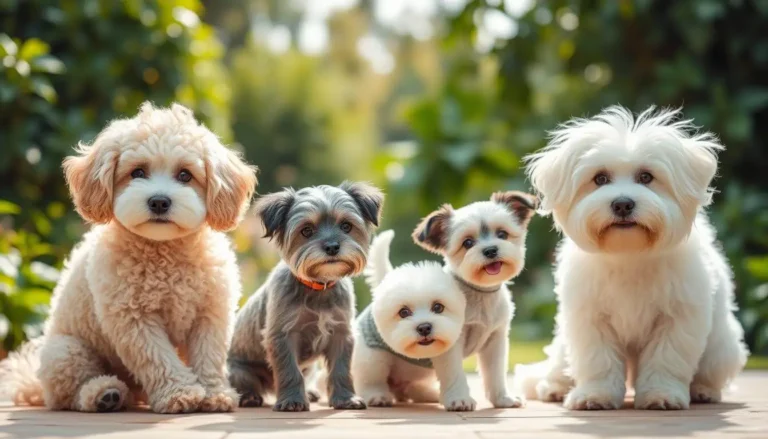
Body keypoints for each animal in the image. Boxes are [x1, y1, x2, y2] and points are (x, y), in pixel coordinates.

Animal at [228, 181, 384, 412]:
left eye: (346, 226)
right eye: (307, 230)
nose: (332, 247)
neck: (318, 287)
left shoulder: (341, 333)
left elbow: (341, 370)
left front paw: (346, 398)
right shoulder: (283, 335)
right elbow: (289, 370)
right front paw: (292, 400)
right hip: (239, 371)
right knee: (244, 383)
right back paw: (249, 396)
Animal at [352, 232, 464, 408]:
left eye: (438, 307)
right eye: (403, 312)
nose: (424, 327)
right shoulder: (371, 352)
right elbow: (371, 379)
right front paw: (376, 395)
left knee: (411, 387)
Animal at [512, 106, 748, 412]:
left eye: (646, 177)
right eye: (600, 178)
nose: (622, 204)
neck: (629, 253)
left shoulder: (678, 316)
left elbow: (666, 358)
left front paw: (662, 394)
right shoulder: (590, 317)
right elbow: (597, 359)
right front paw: (595, 395)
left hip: (722, 347)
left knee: (712, 370)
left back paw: (703, 390)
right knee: (558, 366)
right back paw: (554, 387)